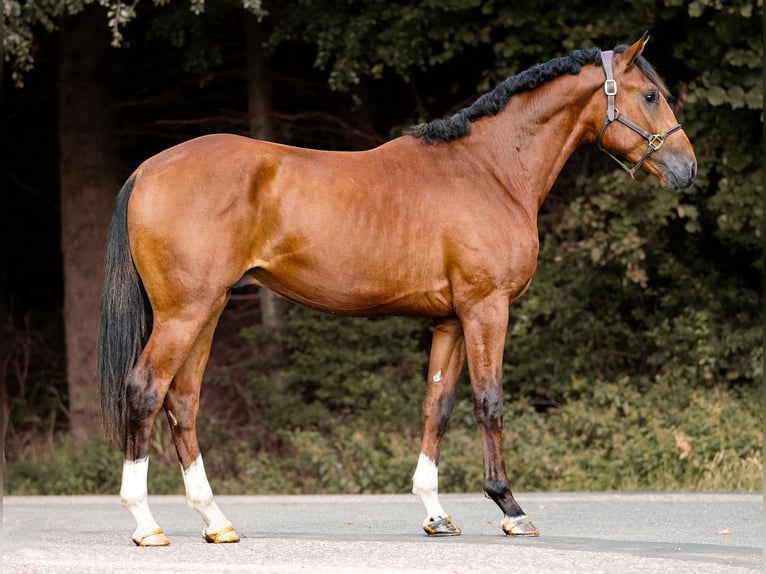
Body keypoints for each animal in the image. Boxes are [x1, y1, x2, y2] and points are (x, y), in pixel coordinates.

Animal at [97, 32, 696, 548]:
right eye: (650, 95)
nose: (687, 168)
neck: (489, 169)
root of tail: (149, 169)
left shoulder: (451, 320)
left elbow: (438, 406)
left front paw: (436, 513)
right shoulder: (486, 310)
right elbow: (489, 401)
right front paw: (510, 507)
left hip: (209, 309)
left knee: (183, 402)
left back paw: (216, 521)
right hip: (184, 312)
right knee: (145, 391)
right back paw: (145, 523)